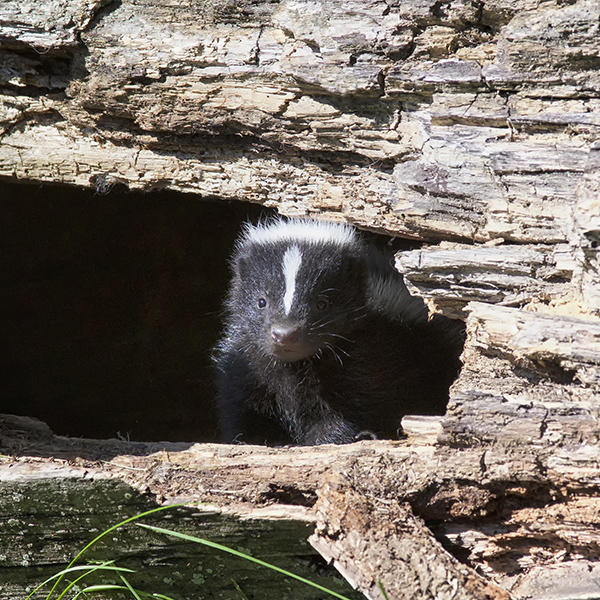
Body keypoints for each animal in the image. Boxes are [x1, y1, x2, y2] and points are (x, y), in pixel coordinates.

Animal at [216, 218, 464, 442]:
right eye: (261, 302)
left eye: (322, 303)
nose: (285, 334)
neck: (295, 367)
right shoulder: (246, 361)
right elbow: (243, 407)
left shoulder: (365, 355)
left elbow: (345, 415)